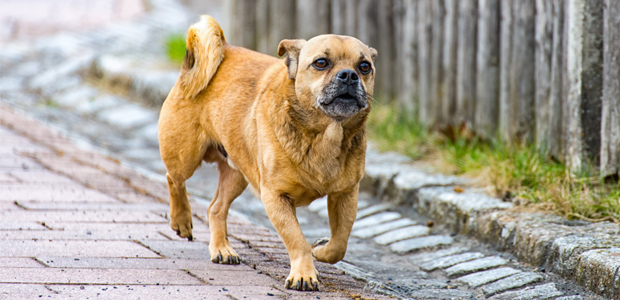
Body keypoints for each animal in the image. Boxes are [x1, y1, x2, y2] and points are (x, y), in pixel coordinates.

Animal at [157, 15, 376, 292]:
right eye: (321, 63)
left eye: (365, 66)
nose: (349, 75)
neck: (325, 135)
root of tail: (225, 48)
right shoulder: (275, 197)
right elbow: (297, 239)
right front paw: (304, 274)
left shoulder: (346, 195)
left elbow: (340, 243)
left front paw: (321, 251)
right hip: (184, 156)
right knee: (173, 180)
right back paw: (182, 221)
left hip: (237, 174)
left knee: (215, 208)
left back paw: (222, 248)